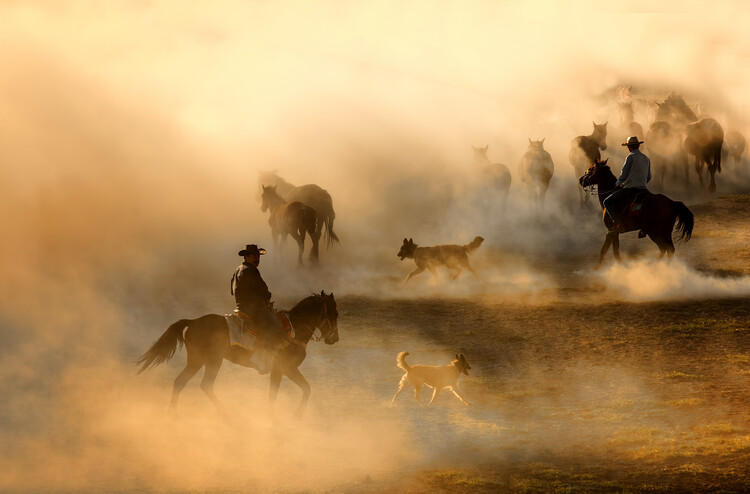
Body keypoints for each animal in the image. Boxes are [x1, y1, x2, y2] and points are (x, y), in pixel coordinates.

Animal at [135, 291, 339, 416]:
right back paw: (226, 416)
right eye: (335, 313)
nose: (334, 338)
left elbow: (287, 391)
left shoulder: (280, 371)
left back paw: (173, 414)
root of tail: (193, 321)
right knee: (205, 385)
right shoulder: (285, 368)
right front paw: (294, 415)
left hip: (196, 360)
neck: (294, 329)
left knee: (180, 382)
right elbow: (302, 388)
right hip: (213, 361)